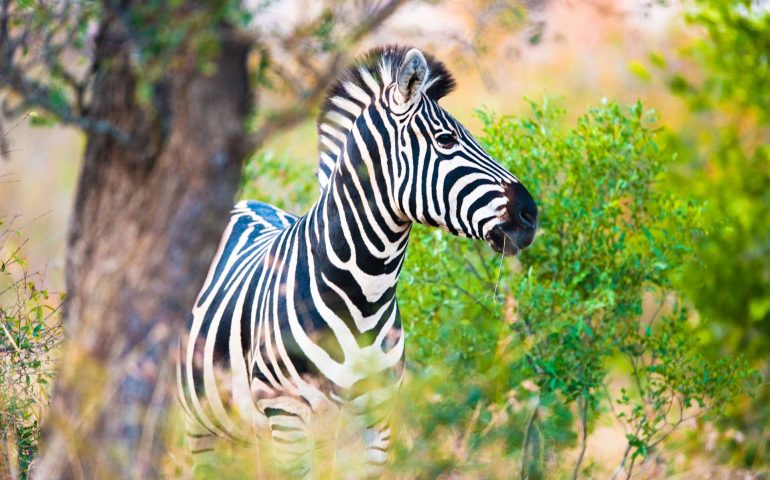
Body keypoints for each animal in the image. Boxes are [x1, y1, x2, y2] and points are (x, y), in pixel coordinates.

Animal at [177, 45, 536, 476]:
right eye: (446, 140)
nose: (530, 215)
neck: (365, 293)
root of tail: (244, 203)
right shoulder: (287, 414)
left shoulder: (376, 420)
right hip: (203, 425)